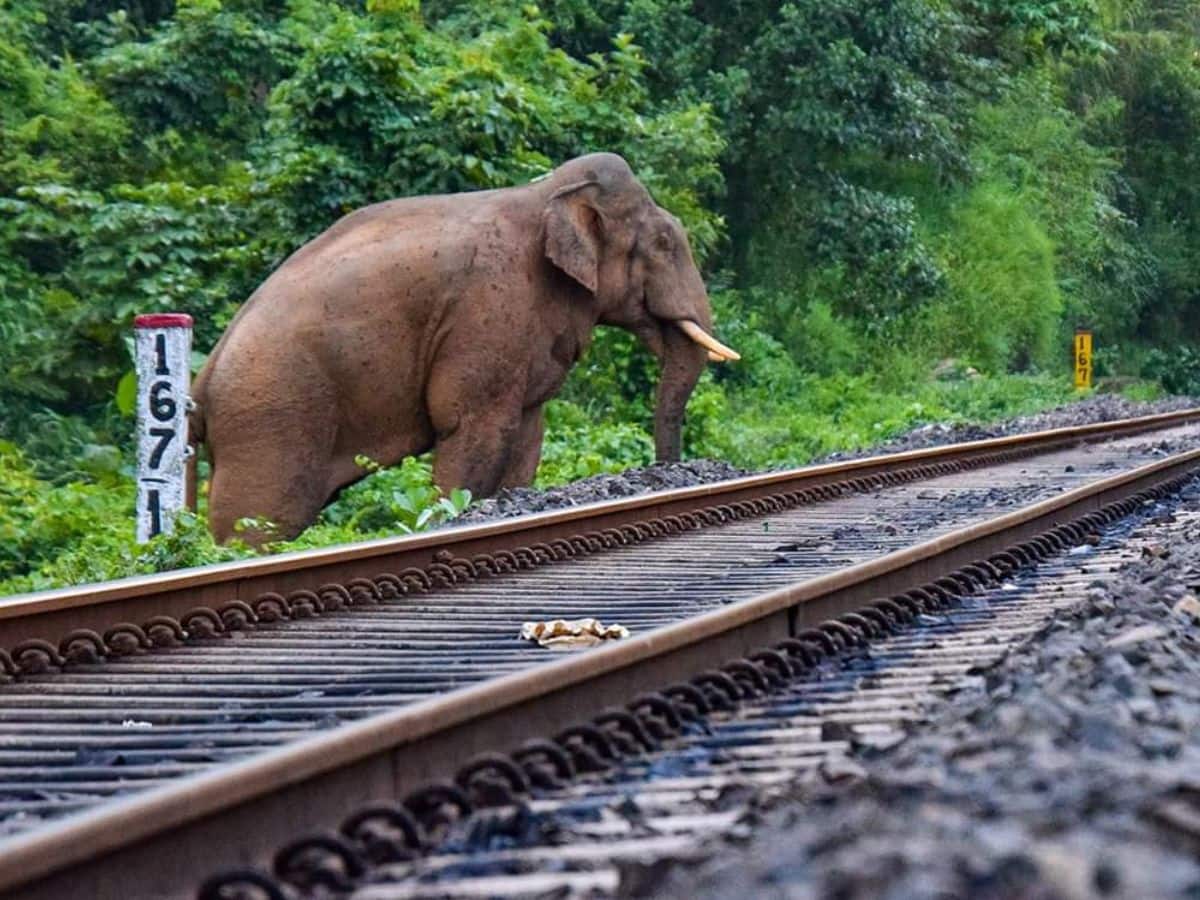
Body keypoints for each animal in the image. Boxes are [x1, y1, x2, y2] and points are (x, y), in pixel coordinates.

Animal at [189, 153, 739, 543]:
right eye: (664, 244)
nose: (672, 472)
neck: (545, 194)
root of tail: (204, 377)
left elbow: (527, 432)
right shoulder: (487, 312)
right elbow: (474, 427)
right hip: (272, 418)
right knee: (257, 523)